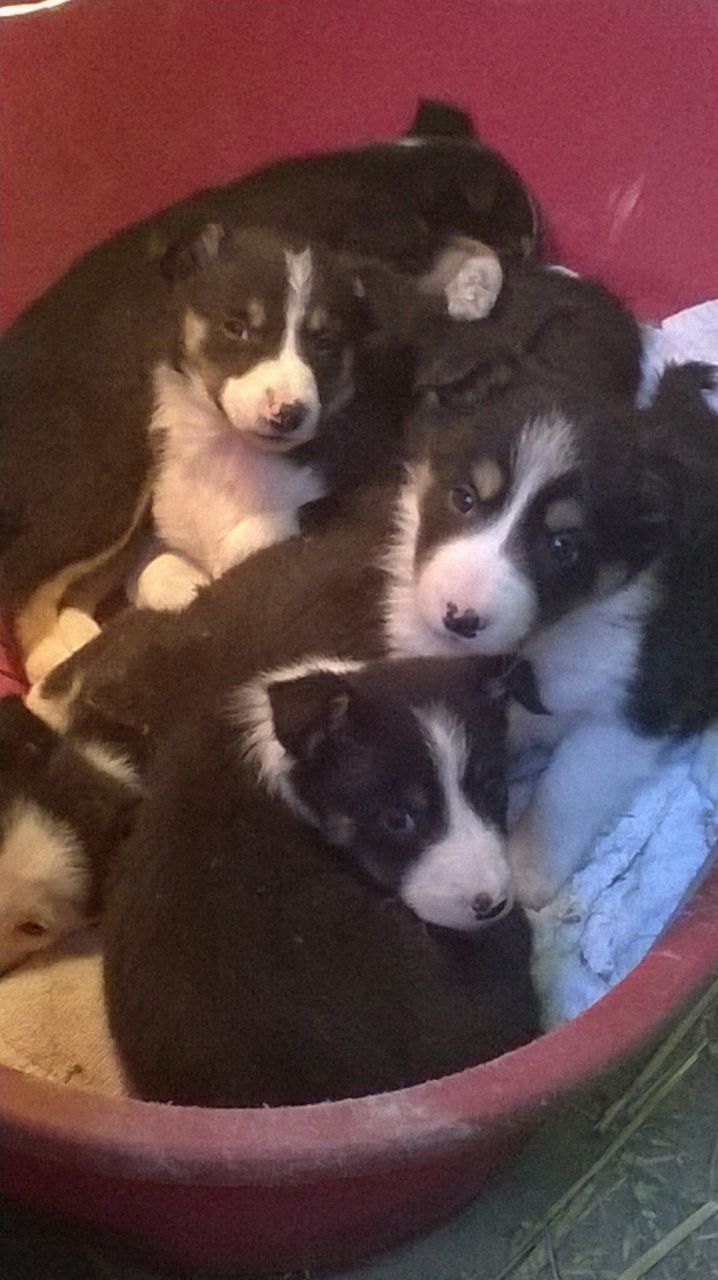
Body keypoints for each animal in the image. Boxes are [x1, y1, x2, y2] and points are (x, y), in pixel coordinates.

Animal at [0, 93, 532, 680]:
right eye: (524, 245)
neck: (394, 175)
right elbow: (473, 257)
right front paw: (473, 291)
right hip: (109, 469)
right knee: (25, 575)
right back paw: (51, 655)